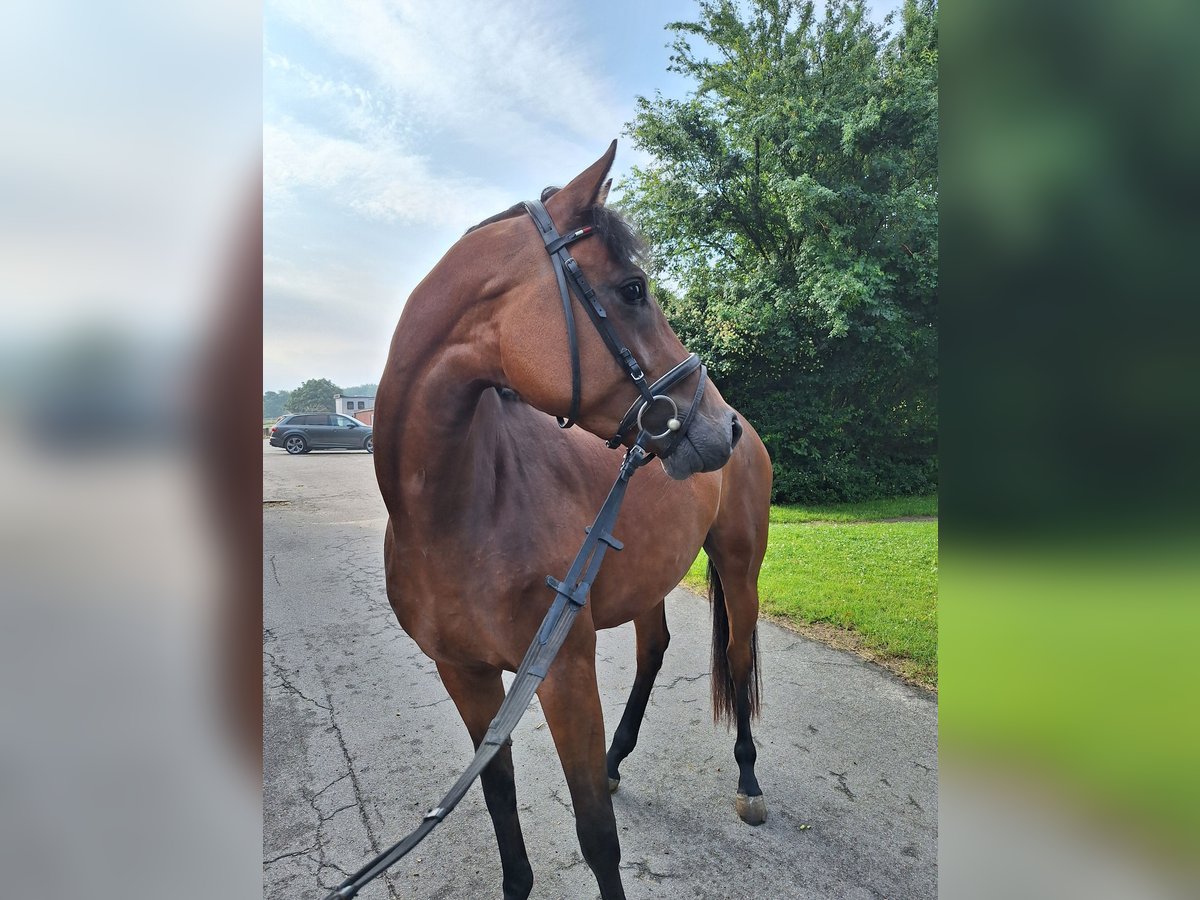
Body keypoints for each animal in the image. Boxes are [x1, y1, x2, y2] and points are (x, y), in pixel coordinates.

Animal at [369, 142, 772, 900]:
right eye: (633, 289)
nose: (718, 428)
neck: (455, 516)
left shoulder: (563, 675)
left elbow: (596, 838)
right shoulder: (466, 675)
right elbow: (501, 805)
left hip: (738, 566)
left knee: (737, 659)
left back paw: (749, 780)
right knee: (654, 650)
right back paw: (619, 759)